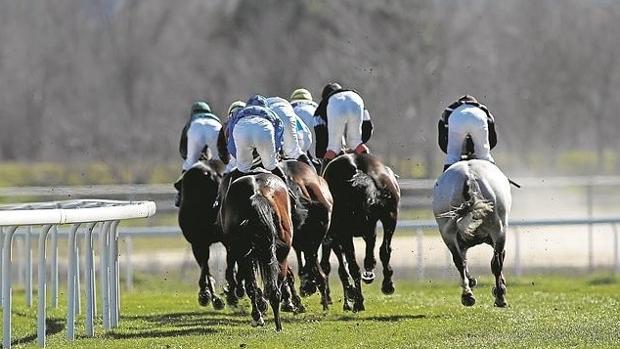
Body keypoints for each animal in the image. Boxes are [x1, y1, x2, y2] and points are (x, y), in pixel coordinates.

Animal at [320, 154, 402, 312]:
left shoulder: (340, 235)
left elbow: (344, 266)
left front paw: (352, 297)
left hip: (346, 231)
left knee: (352, 266)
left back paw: (358, 299)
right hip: (390, 216)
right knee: (384, 250)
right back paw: (385, 283)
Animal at [434, 159, 512, 306]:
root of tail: (469, 175)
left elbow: (464, 261)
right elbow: (498, 259)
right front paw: (500, 287)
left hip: (447, 232)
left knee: (459, 262)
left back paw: (468, 295)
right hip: (498, 228)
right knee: (496, 263)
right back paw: (498, 297)